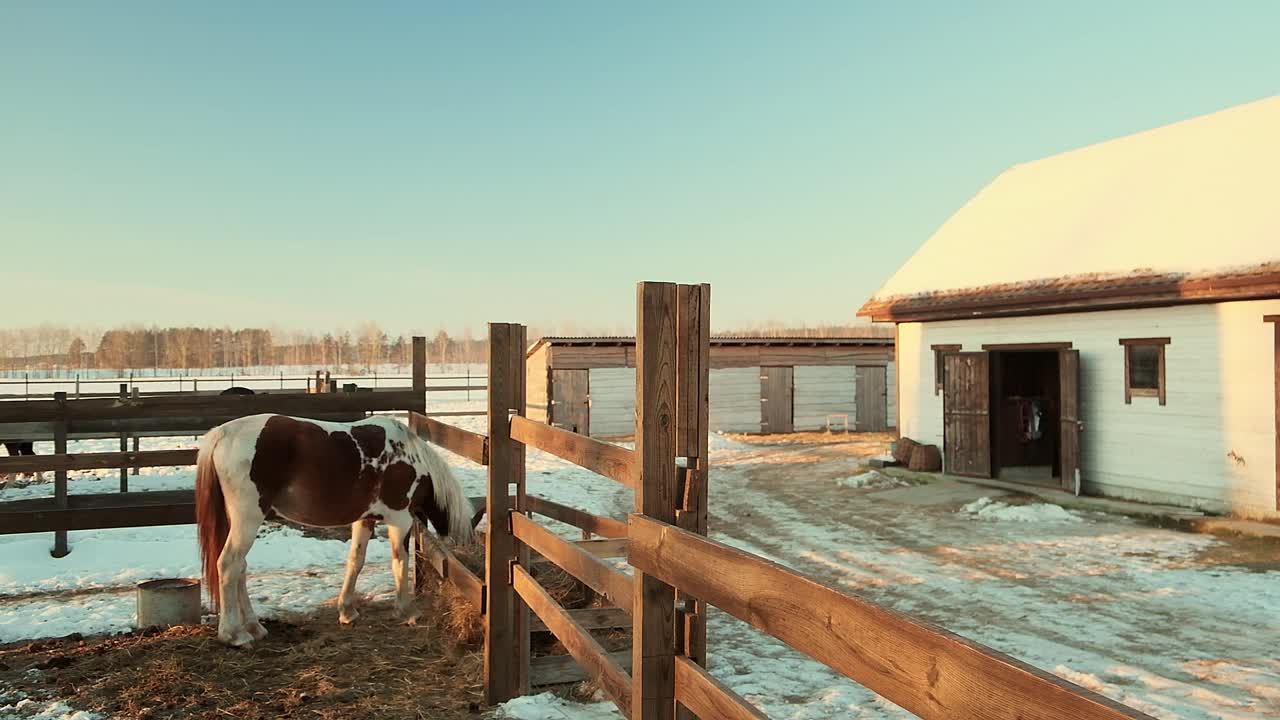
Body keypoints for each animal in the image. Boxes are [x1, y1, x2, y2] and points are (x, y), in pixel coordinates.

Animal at [189, 409, 471, 645]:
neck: (409, 457)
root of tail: (222, 433)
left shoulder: (364, 518)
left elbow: (356, 560)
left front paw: (347, 611)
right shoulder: (400, 519)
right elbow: (400, 562)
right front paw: (407, 610)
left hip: (238, 521)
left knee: (241, 568)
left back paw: (255, 627)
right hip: (247, 519)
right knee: (229, 564)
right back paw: (234, 635)